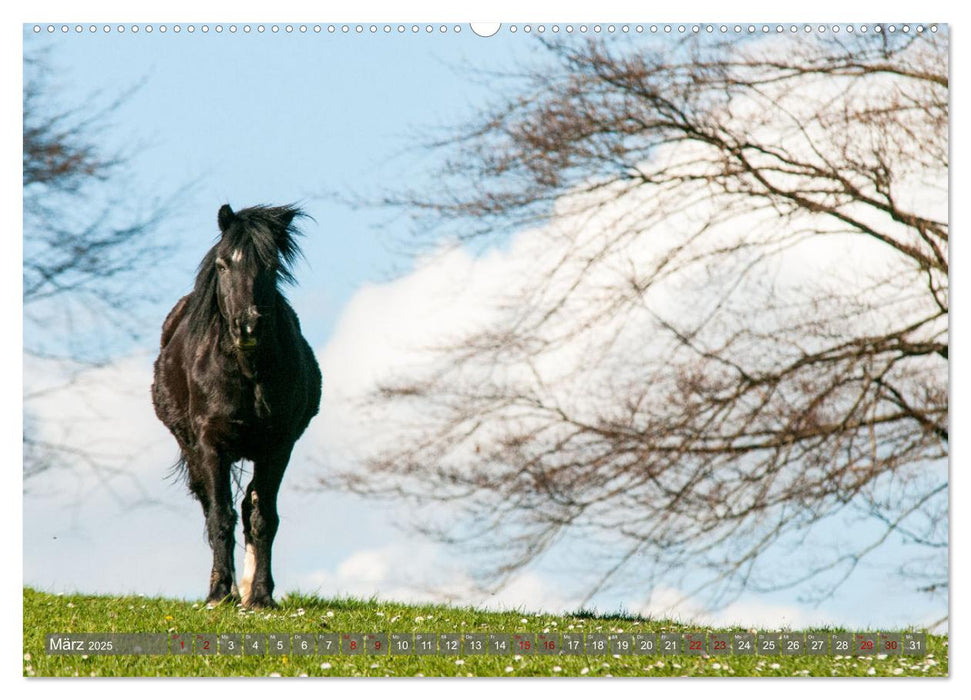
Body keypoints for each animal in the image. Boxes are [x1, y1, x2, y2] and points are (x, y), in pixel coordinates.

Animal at [153, 202, 322, 608]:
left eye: (272, 265)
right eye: (223, 264)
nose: (248, 326)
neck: (248, 372)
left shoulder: (277, 447)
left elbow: (263, 518)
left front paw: (261, 595)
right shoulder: (212, 445)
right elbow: (220, 517)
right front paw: (218, 592)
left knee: (248, 507)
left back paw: (243, 589)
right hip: (193, 449)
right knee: (212, 507)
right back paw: (227, 588)